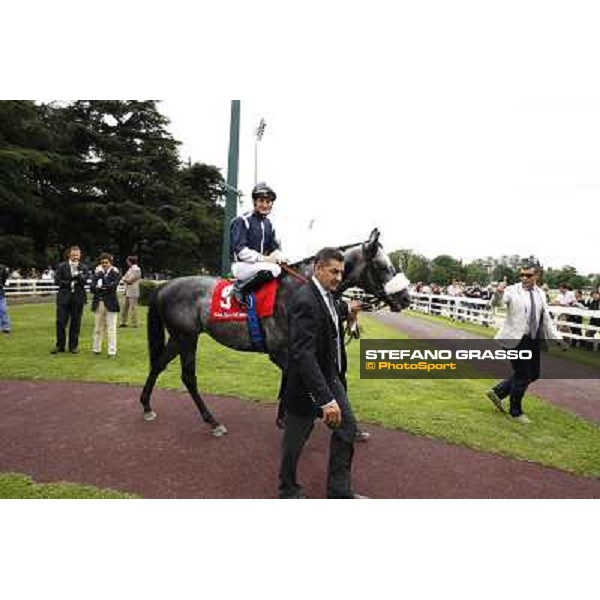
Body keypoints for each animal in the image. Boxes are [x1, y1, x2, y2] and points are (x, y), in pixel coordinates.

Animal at [141, 227, 412, 434]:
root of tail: (164, 286)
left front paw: (285, 417)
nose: (406, 298)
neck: (295, 290)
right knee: (188, 376)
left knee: (158, 364)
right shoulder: (280, 351)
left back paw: (146, 406)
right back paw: (213, 421)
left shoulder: (293, 349)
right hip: (187, 337)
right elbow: (297, 377)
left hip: (178, 337)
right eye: (382, 266)